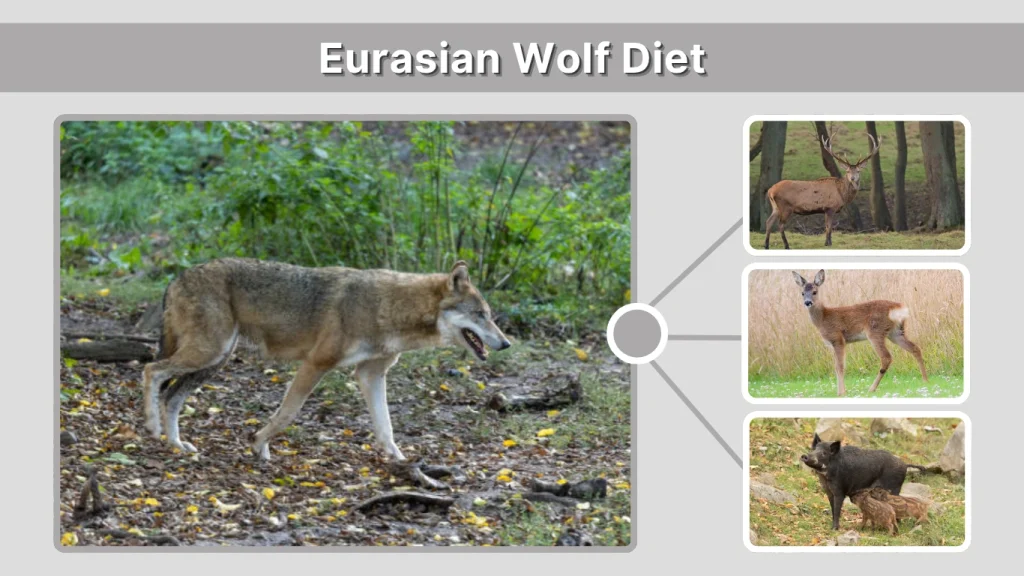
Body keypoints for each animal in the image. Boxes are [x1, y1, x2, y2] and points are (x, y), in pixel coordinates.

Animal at [140, 257, 511, 461]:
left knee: (172, 395)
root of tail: (176, 277)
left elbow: (386, 427)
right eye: (480, 315)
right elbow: (286, 414)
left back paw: (175, 444)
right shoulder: (316, 363)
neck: (389, 308)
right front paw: (259, 445)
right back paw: (152, 427)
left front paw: (398, 459)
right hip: (208, 354)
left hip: (213, 361)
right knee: (151, 370)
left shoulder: (370, 375)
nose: (506, 343)